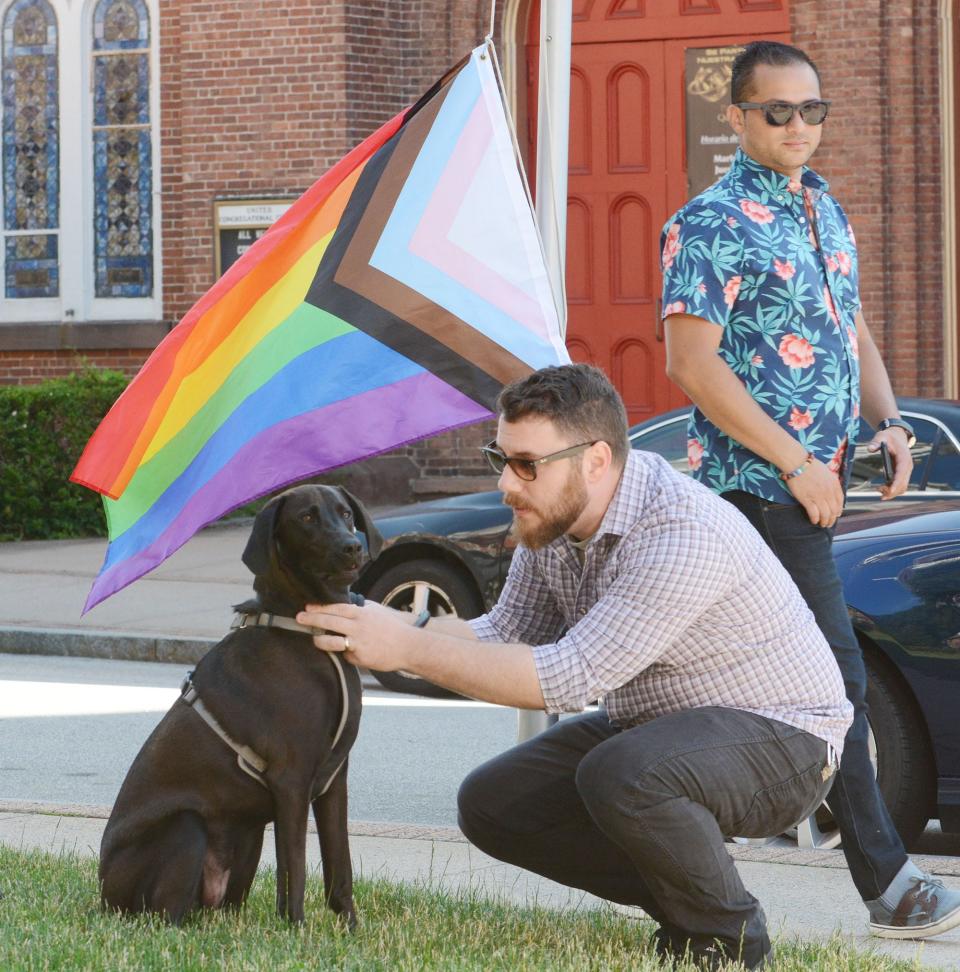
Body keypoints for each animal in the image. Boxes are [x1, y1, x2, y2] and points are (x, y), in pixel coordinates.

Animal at [98, 486, 382, 928]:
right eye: (306, 518)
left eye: (346, 513)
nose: (352, 546)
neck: (307, 629)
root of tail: (101, 894)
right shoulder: (291, 780)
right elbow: (295, 870)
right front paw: (297, 930)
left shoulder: (334, 779)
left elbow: (340, 867)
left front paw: (349, 930)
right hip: (186, 827)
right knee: (164, 917)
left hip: (249, 835)